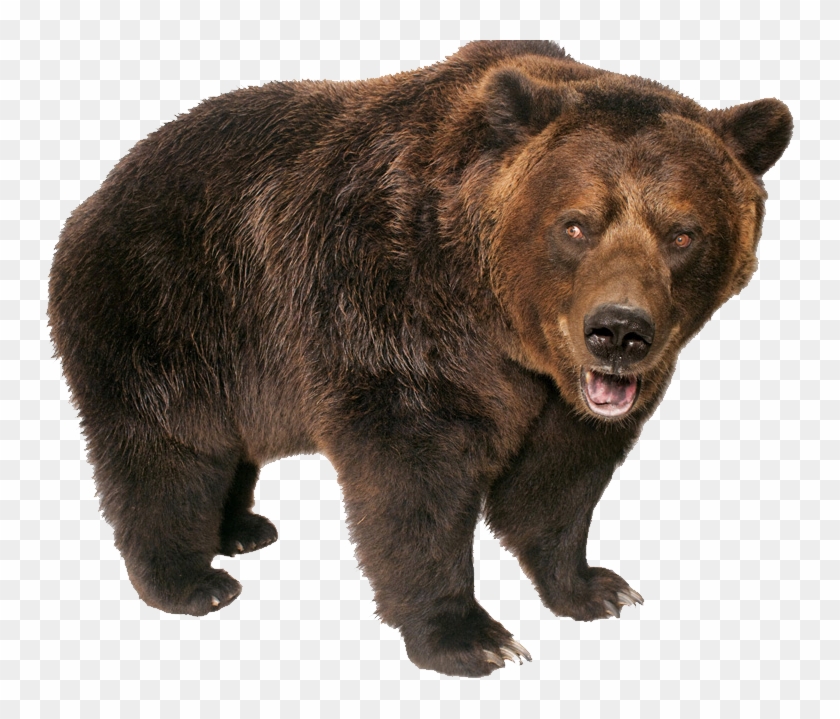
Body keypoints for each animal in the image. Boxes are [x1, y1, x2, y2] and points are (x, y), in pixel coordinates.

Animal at [48, 40, 793, 677]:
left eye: (683, 234)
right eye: (577, 224)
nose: (618, 331)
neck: (504, 324)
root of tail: (100, 188)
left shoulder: (565, 394)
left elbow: (559, 477)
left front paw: (595, 586)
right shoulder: (393, 310)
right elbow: (416, 481)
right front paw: (470, 636)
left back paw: (242, 528)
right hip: (170, 310)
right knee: (169, 450)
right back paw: (191, 578)